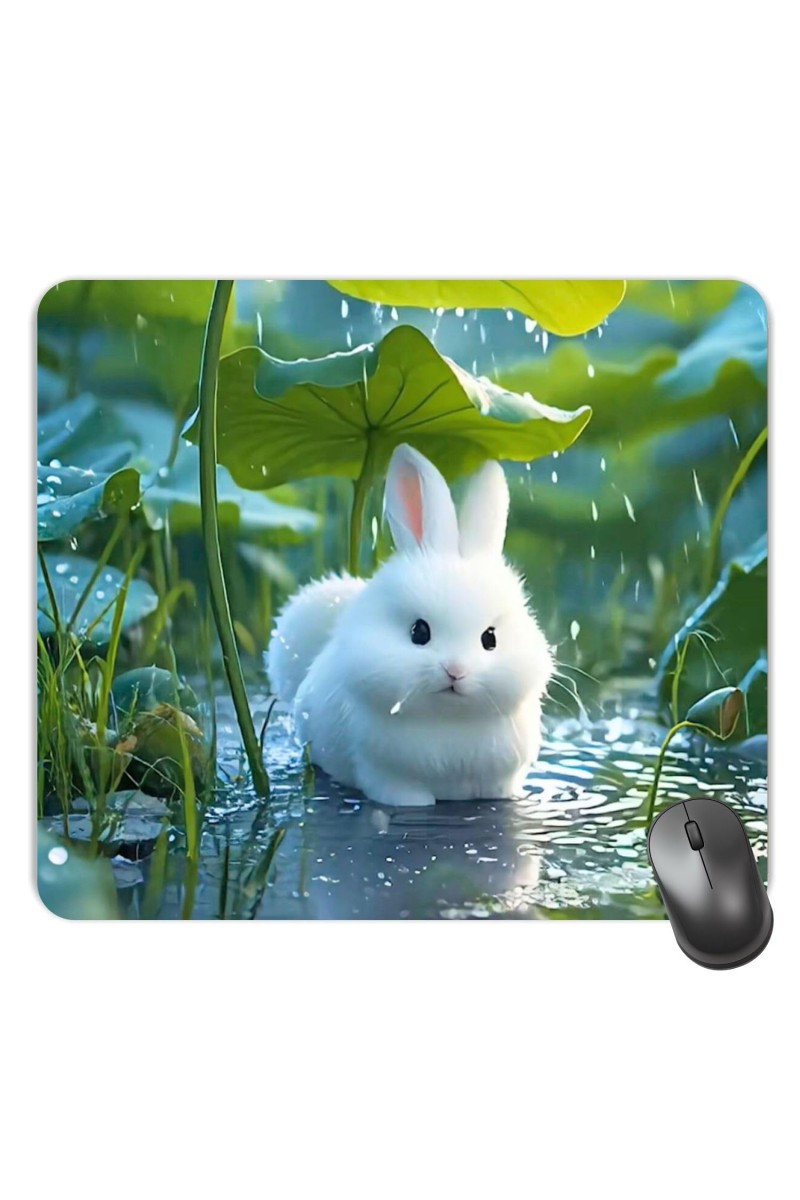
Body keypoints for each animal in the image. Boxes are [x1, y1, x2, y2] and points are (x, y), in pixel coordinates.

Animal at [267, 444, 553, 807]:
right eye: (419, 632)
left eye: (490, 639)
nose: (455, 671)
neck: (448, 720)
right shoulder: (390, 778)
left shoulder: (499, 780)